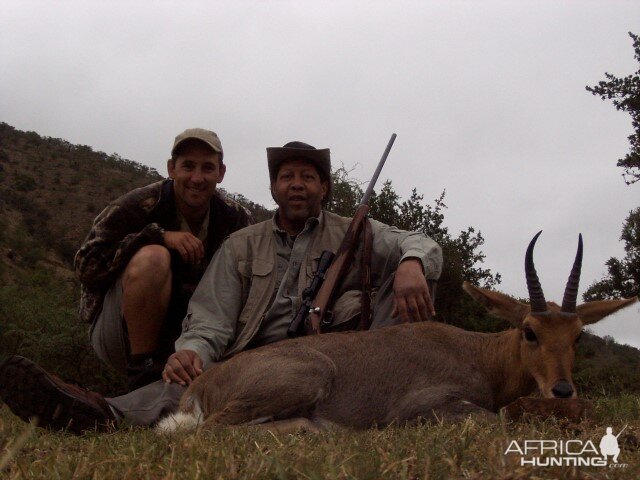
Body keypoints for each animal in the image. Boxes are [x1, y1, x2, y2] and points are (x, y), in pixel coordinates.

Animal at [158, 233, 636, 436]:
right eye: (529, 331)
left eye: (578, 335)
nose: (562, 389)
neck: (480, 355)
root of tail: (202, 383)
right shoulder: (421, 406)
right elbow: (495, 419)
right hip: (308, 377)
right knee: (209, 430)